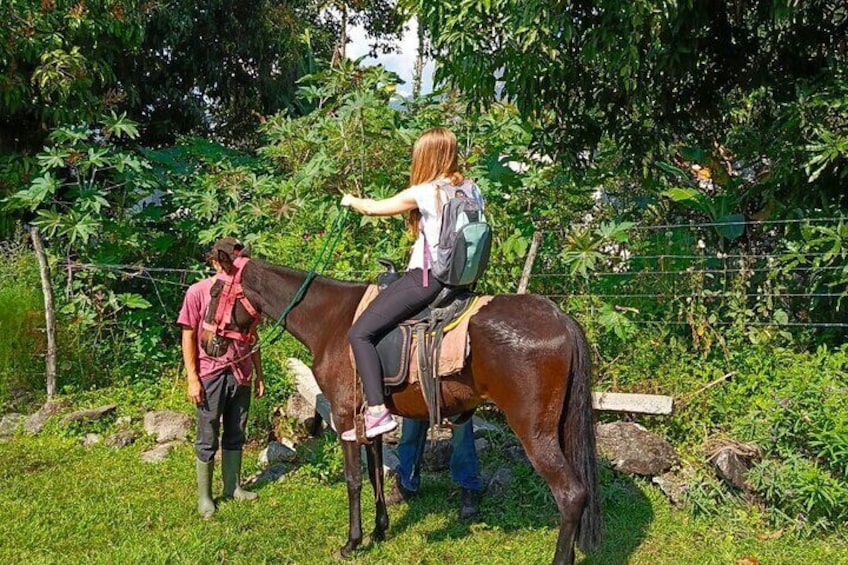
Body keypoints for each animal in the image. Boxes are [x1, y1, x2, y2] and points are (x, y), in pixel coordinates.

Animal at [217, 252, 604, 564]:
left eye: (216, 292)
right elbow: (375, 473)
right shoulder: (369, 419)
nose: (210, 340)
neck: (330, 319)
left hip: (534, 433)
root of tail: (559, 318)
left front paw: (352, 542)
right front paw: (379, 531)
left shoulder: (344, 416)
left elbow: (354, 479)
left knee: (571, 494)